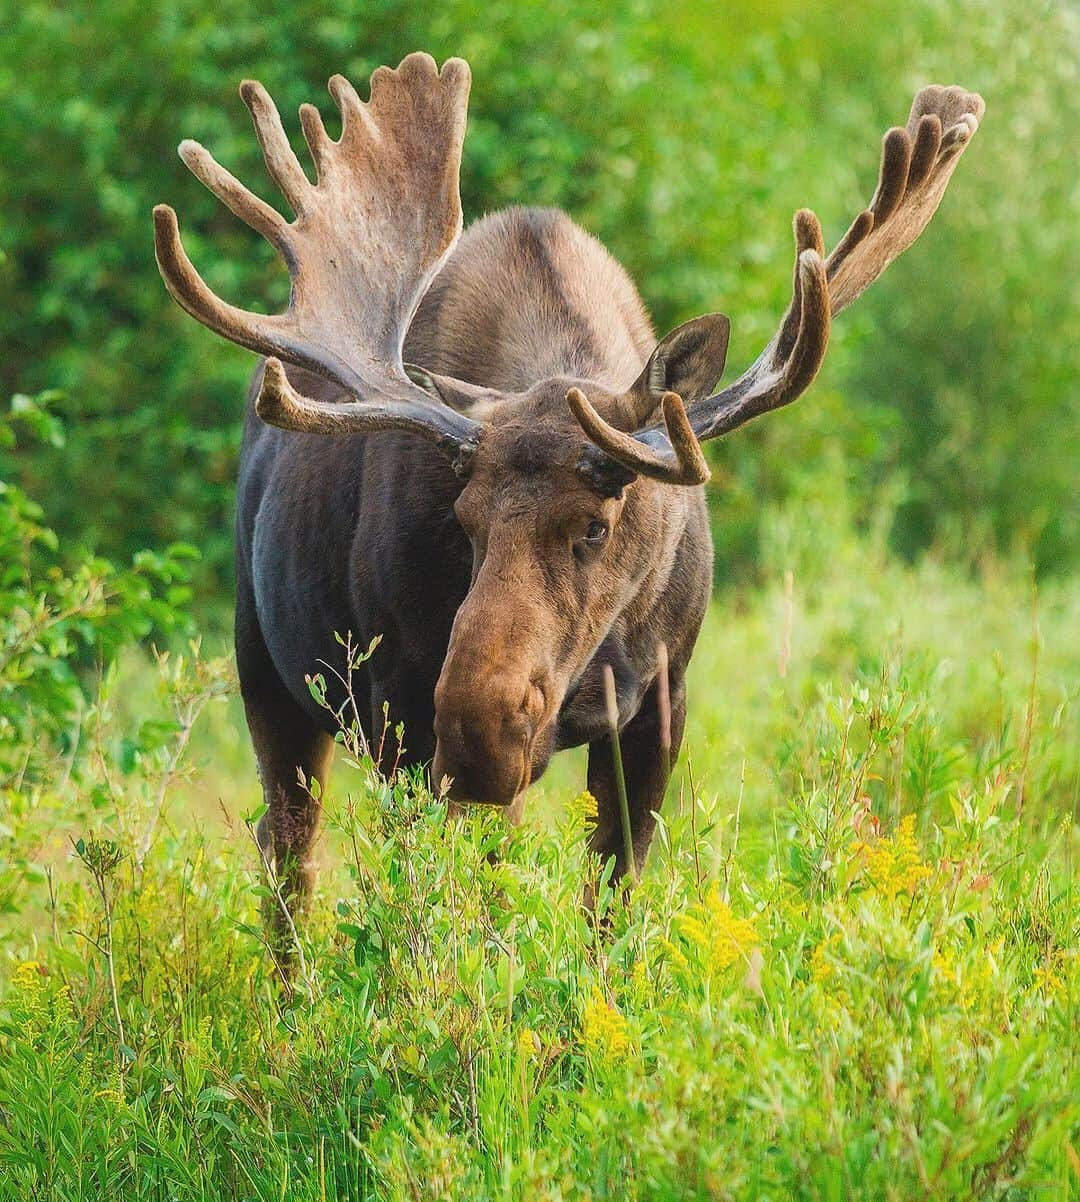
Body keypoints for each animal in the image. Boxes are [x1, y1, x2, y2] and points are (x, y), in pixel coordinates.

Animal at [153, 49, 989, 908]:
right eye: (463, 518)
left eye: (596, 523)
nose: (477, 728)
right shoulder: (396, 709)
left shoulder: (660, 702)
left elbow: (609, 895)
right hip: (266, 666)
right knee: (288, 848)